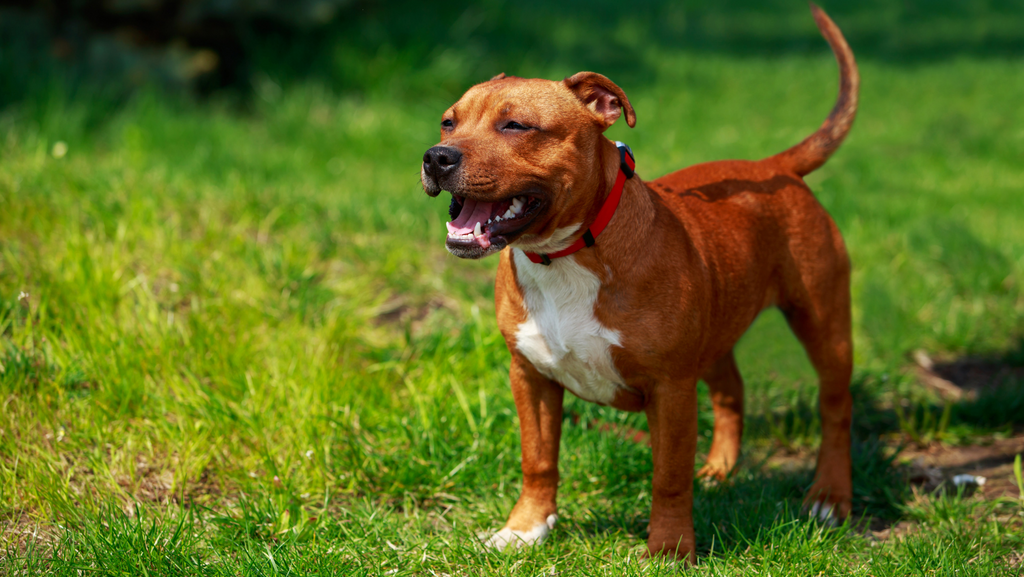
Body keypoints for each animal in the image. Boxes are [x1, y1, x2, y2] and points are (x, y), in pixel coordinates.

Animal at [419, 3, 860, 565]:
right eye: (448, 121)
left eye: (516, 125)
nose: (437, 156)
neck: (566, 255)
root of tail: (772, 166)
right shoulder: (531, 376)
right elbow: (538, 460)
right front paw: (525, 530)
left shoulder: (669, 388)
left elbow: (668, 478)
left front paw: (669, 549)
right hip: (719, 328)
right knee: (731, 390)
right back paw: (720, 470)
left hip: (823, 324)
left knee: (836, 408)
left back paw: (829, 497)